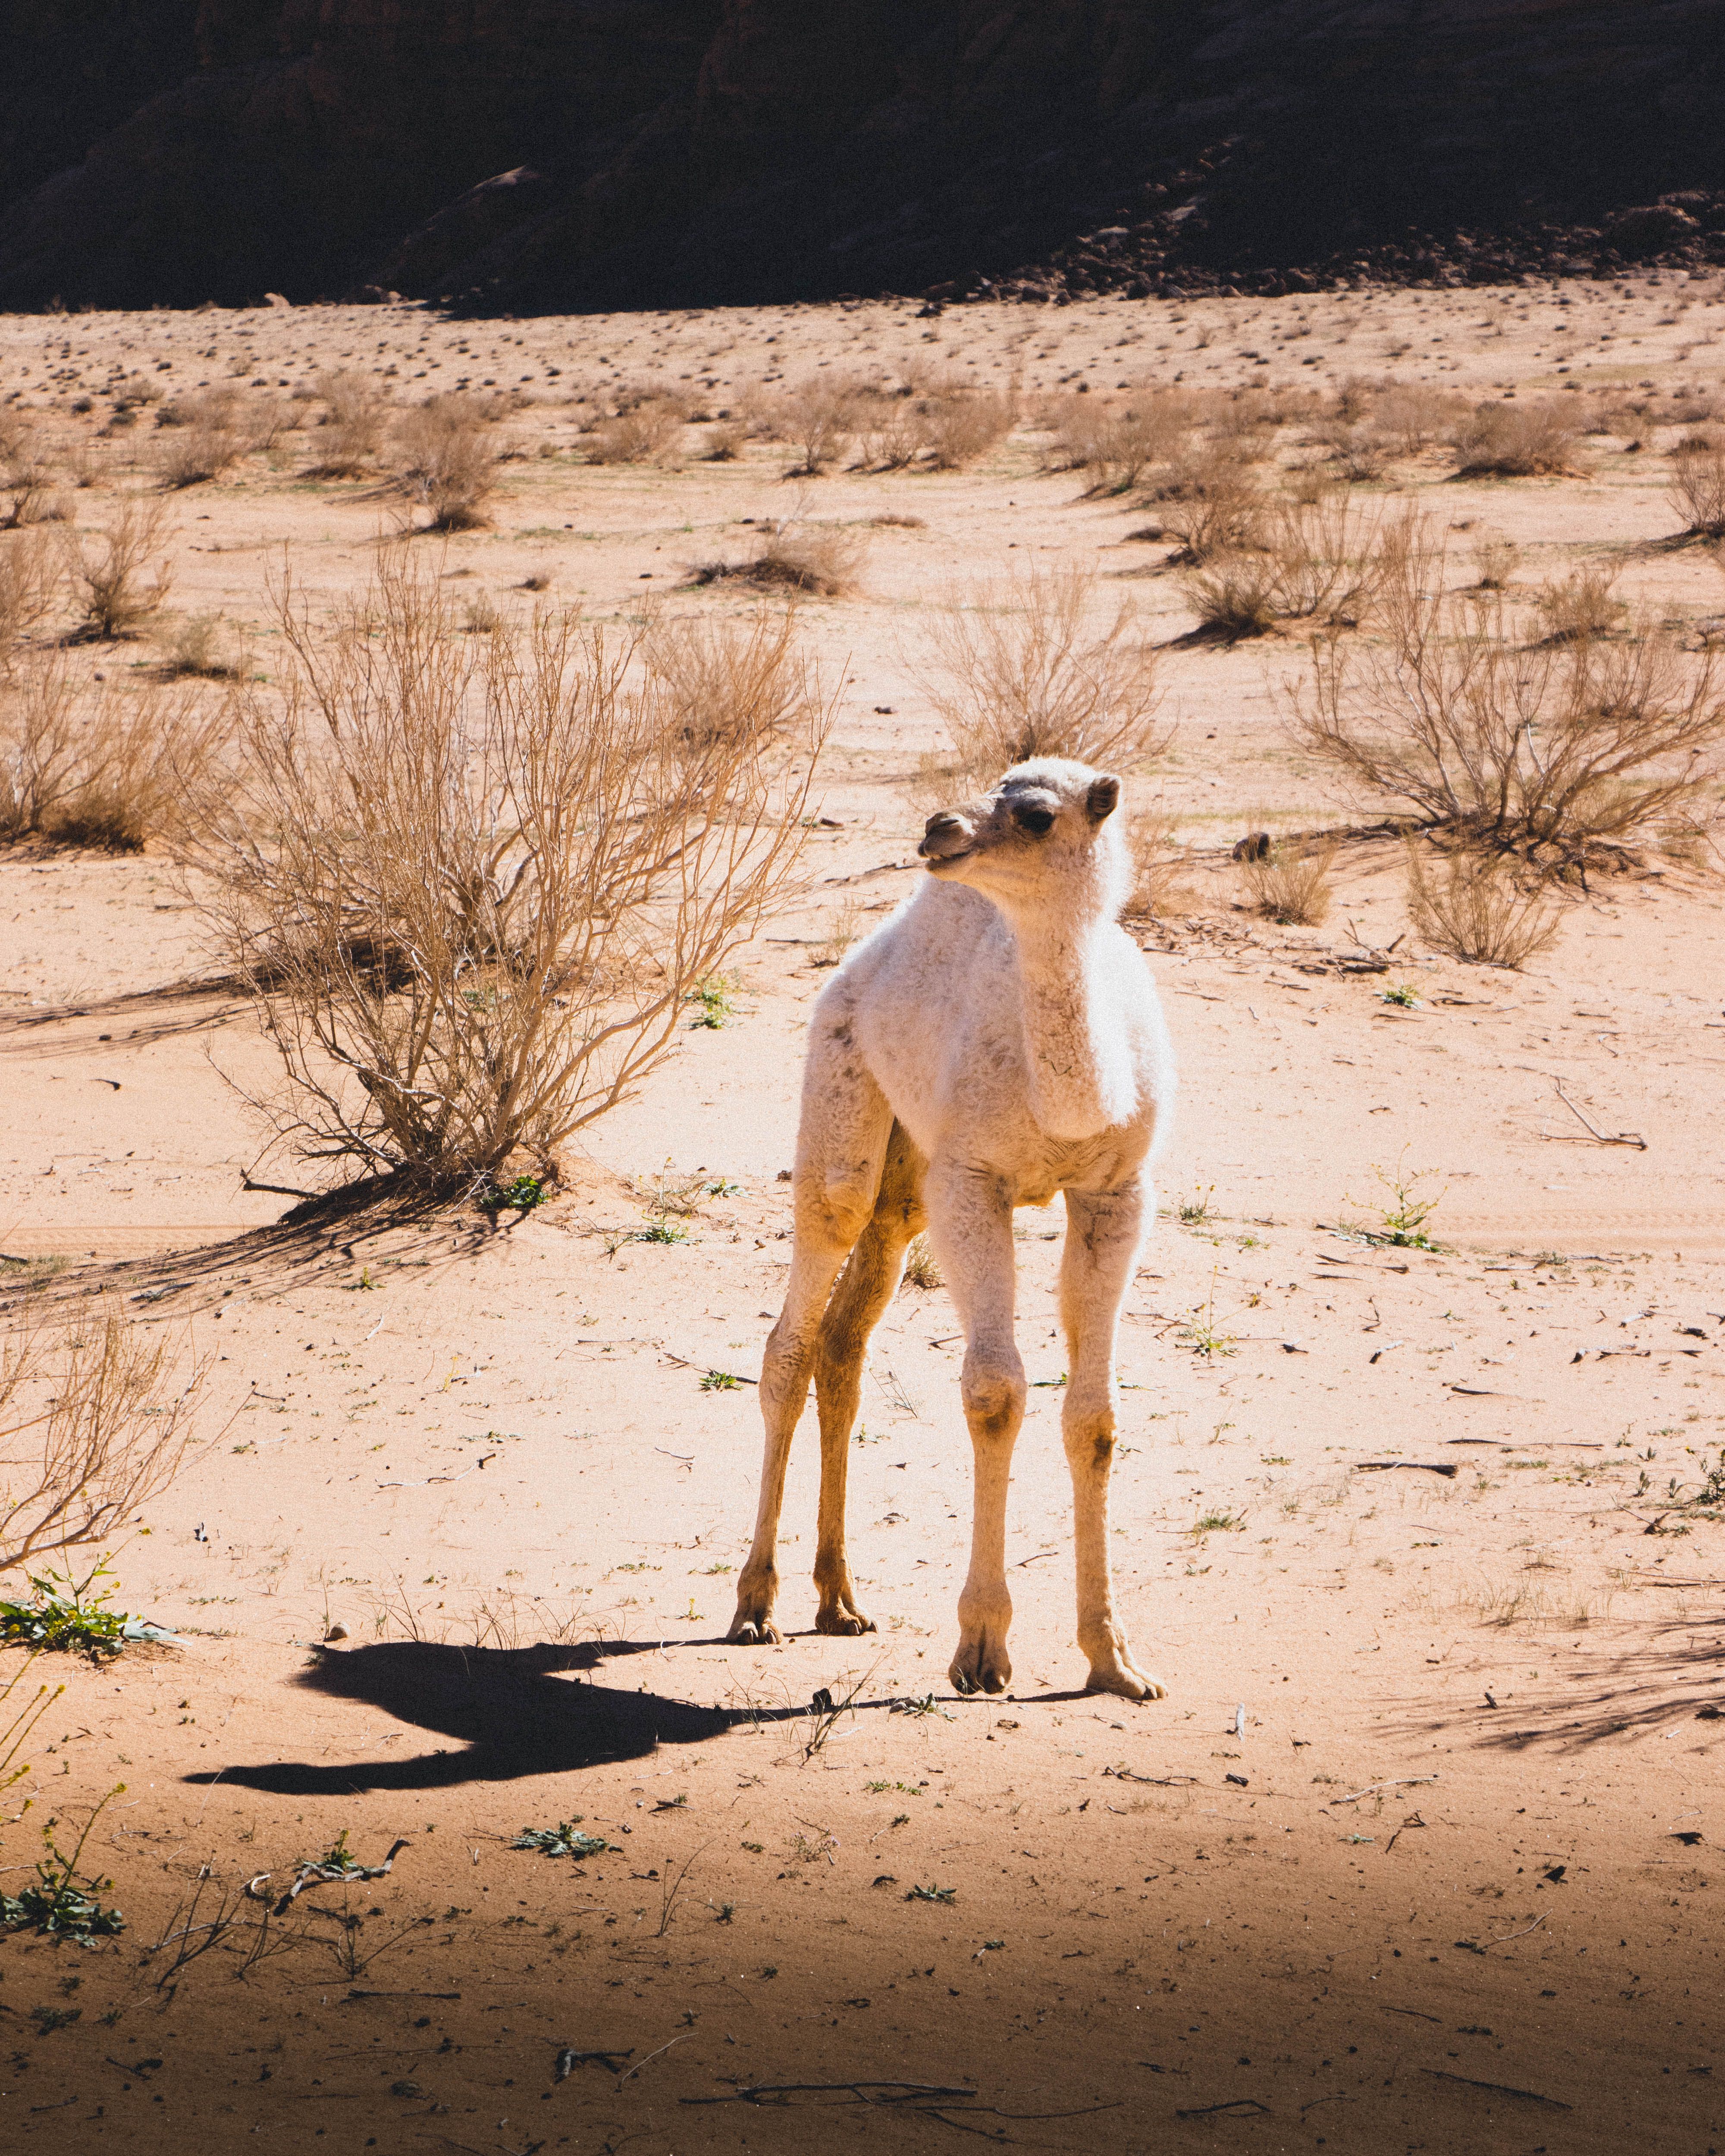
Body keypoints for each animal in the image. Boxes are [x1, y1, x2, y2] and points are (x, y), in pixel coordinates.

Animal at [728, 757, 1174, 1699]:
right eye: (996, 783)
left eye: (1037, 815)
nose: (939, 830)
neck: (1072, 1099)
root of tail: (865, 958)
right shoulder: (974, 1184)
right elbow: (996, 1393)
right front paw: (980, 1648)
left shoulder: (1116, 1193)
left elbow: (1094, 1417)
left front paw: (1114, 1658)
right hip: (841, 1094)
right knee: (795, 1328)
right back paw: (755, 1604)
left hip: (905, 1187)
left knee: (844, 1343)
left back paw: (840, 1600)